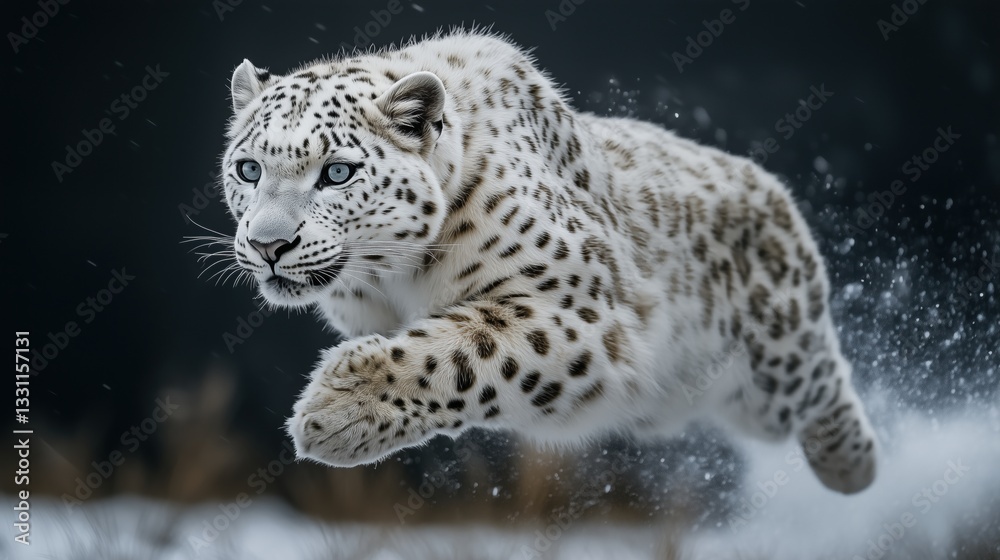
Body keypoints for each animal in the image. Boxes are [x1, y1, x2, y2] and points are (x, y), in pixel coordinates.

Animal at [218, 29, 877, 494]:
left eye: (336, 172)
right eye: (248, 168)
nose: (268, 244)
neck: (389, 281)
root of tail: (770, 186)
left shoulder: (583, 311)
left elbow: (464, 349)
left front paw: (337, 409)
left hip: (774, 366)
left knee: (824, 381)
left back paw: (855, 467)